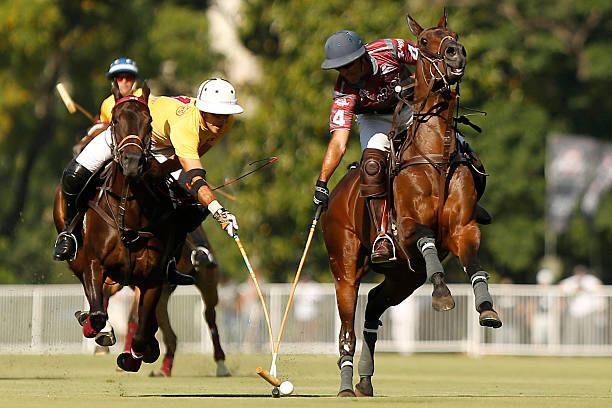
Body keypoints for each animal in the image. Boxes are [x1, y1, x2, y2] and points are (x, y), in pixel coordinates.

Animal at [53, 80, 178, 372]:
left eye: (149, 121)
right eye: (117, 120)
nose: (132, 162)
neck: (128, 212)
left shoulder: (153, 278)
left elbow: (143, 332)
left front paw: (136, 355)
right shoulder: (93, 264)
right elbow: (98, 313)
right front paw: (97, 328)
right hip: (74, 254)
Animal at [322, 11, 500, 396]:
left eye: (454, 34)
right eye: (422, 41)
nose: (456, 53)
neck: (436, 156)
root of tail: (338, 194)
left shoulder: (463, 228)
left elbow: (475, 264)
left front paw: (486, 308)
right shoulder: (406, 230)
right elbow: (426, 239)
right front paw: (443, 293)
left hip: (405, 276)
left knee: (373, 307)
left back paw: (365, 379)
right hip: (345, 268)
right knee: (347, 328)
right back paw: (345, 383)